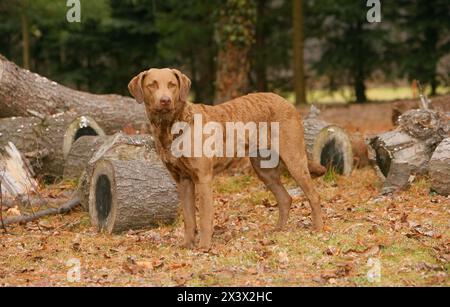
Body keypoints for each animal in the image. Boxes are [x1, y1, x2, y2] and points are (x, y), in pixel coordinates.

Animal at [128, 68, 322, 250]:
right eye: (152, 85)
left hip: (294, 159)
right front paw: (187, 244)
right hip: (264, 170)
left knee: (313, 196)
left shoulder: (203, 178)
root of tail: (287, 102)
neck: (171, 127)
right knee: (285, 198)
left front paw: (204, 247)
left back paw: (317, 229)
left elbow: (205, 217)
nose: (165, 100)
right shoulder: (183, 180)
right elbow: (189, 218)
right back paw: (278, 230)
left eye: (172, 85)